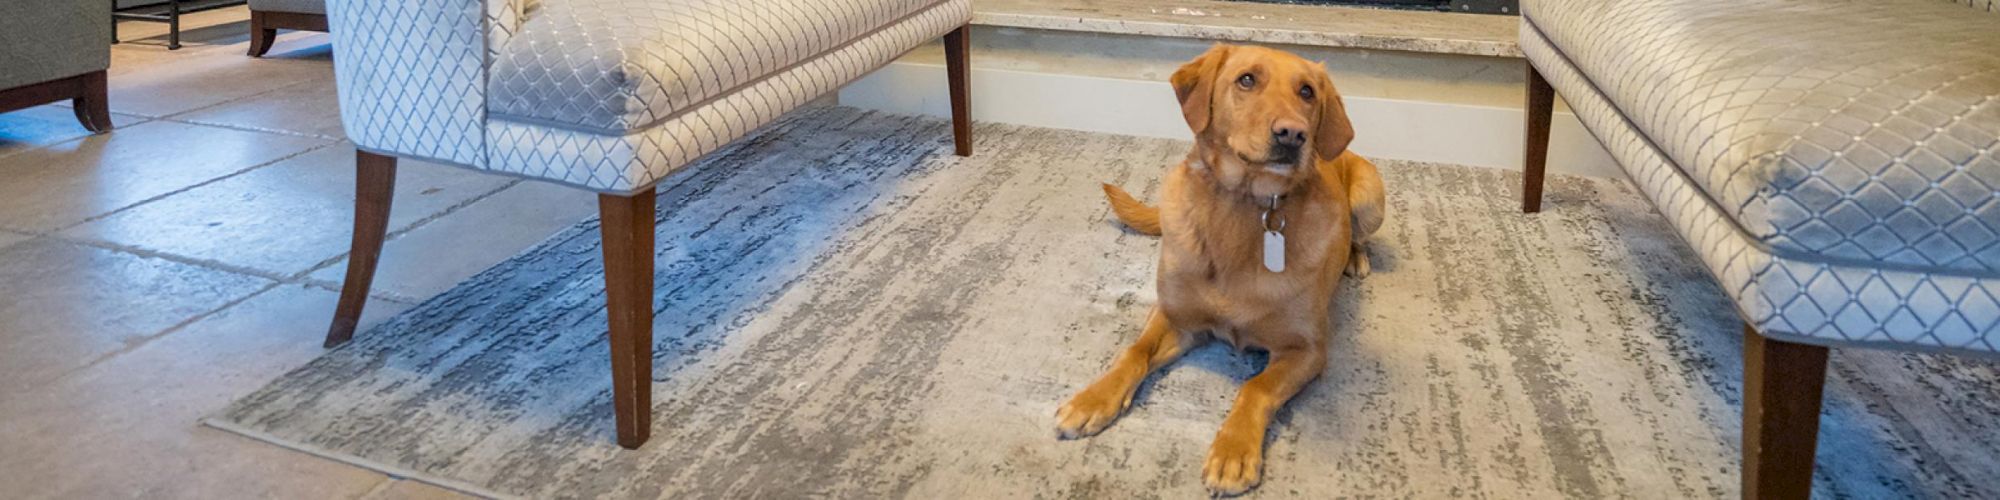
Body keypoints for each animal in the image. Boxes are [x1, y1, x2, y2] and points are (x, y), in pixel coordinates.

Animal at [1056, 44, 1384, 496]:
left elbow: (1255, 386)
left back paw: (1355, 256)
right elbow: (1135, 351)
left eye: (1307, 91)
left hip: (1371, 196)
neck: (1241, 207)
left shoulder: (1307, 350)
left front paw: (1233, 450)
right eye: (1246, 80)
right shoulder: (1176, 317)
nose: (1293, 134)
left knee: (1359, 233)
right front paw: (1093, 399)